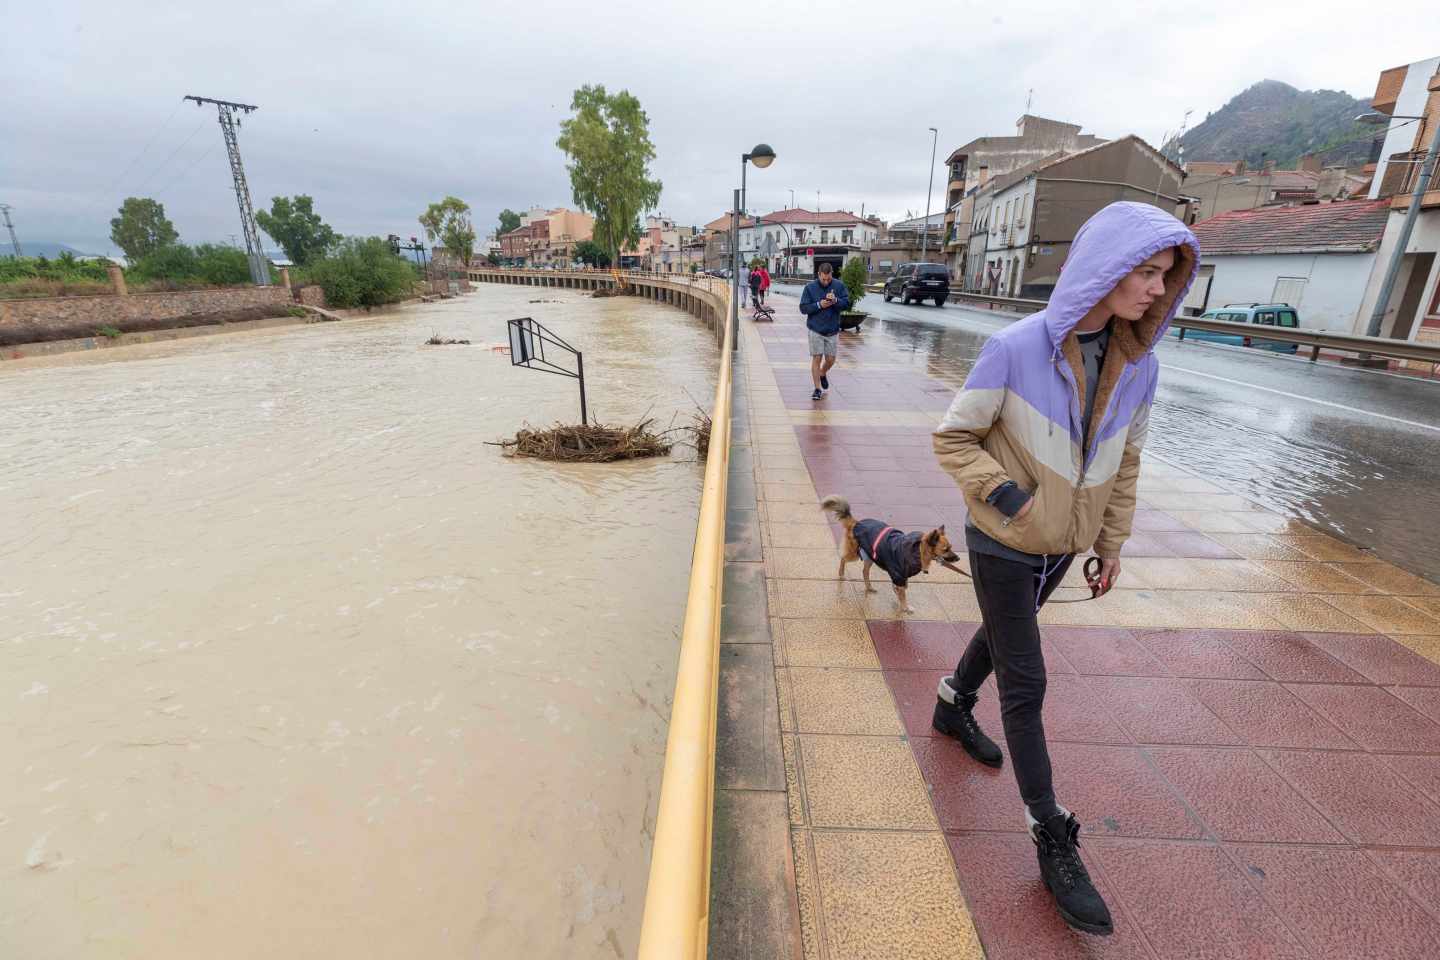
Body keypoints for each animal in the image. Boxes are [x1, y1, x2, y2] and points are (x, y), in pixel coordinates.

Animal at [823, 500, 956, 613]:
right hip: (854, 554)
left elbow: (901, 589)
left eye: (950, 547)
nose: (958, 558)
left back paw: (869, 587)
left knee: (865, 571)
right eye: (945, 549)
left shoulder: (902, 576)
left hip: (871, 556)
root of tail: (856, 523)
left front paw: (899, 600)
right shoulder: (899, 575)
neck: (917, 550)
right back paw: (841, 573)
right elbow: (903, 594)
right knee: (843, 559)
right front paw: (905, 607)